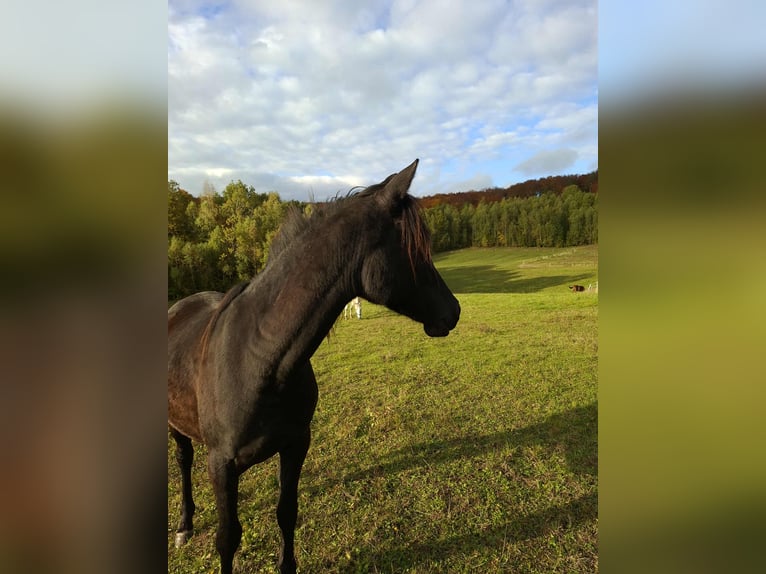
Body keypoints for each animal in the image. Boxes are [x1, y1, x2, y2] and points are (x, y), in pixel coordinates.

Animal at [168, 159, 460, 574]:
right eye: (415, 250)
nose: (454, 311)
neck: (259, 359)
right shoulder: (221, 465)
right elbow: (228, 539)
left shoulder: (296, 445)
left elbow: (286, 513)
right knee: (183, 461)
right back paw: (184, 526)